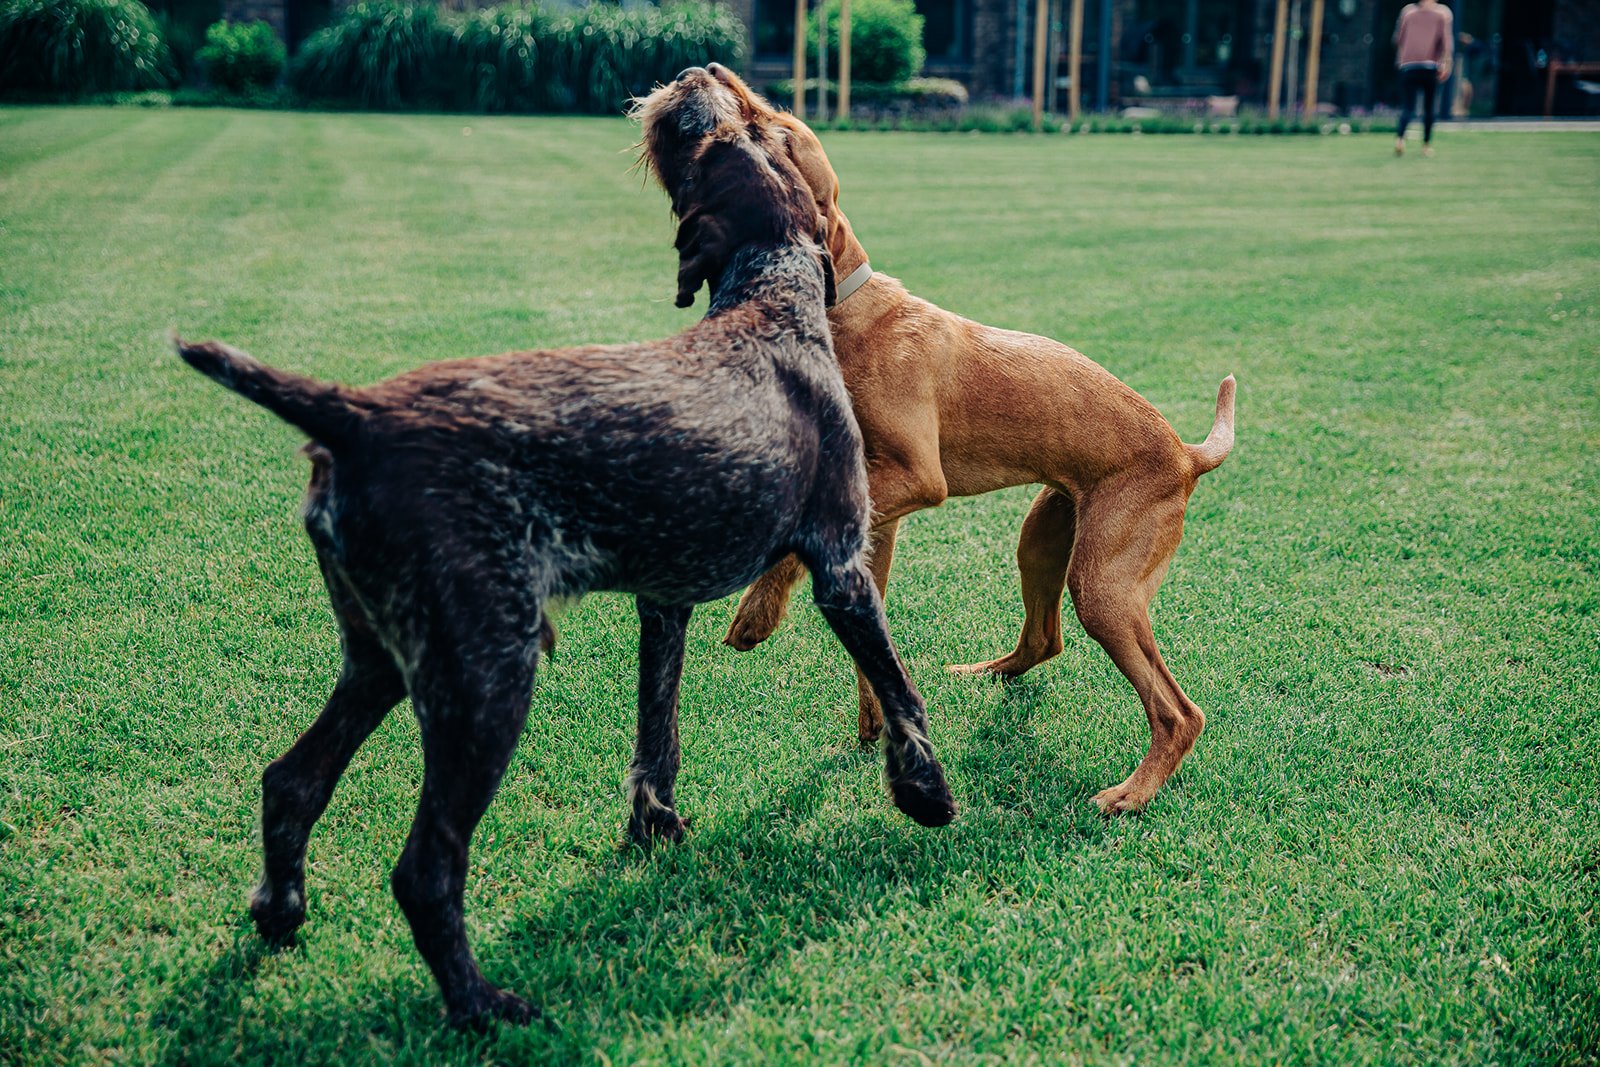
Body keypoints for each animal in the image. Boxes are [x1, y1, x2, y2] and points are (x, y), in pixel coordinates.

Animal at [175, 64, 947, 1023]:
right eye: (738, 134)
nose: (694, 76)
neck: (767, 299)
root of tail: (359, 414)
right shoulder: (841, 565)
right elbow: (901, 689)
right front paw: (927, 793)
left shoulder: (665, 601)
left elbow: (657, 736)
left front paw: (653, 829)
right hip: (488, 675)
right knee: (424, 869)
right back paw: (481, 1005)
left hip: (385, 658)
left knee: (291, 781)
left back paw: (282, 912)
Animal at [700, 64, 1235, 819]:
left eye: (777, 131)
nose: (713, 73)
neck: (850, 309)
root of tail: (1186, 454)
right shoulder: (878, 503)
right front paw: (876, 722)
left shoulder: (918, 478)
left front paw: (755, 614)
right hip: (1046, 534)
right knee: (1044, 639)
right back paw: (986, 670)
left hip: (1104, 581)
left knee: (1178, 710)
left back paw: (1132, 792)